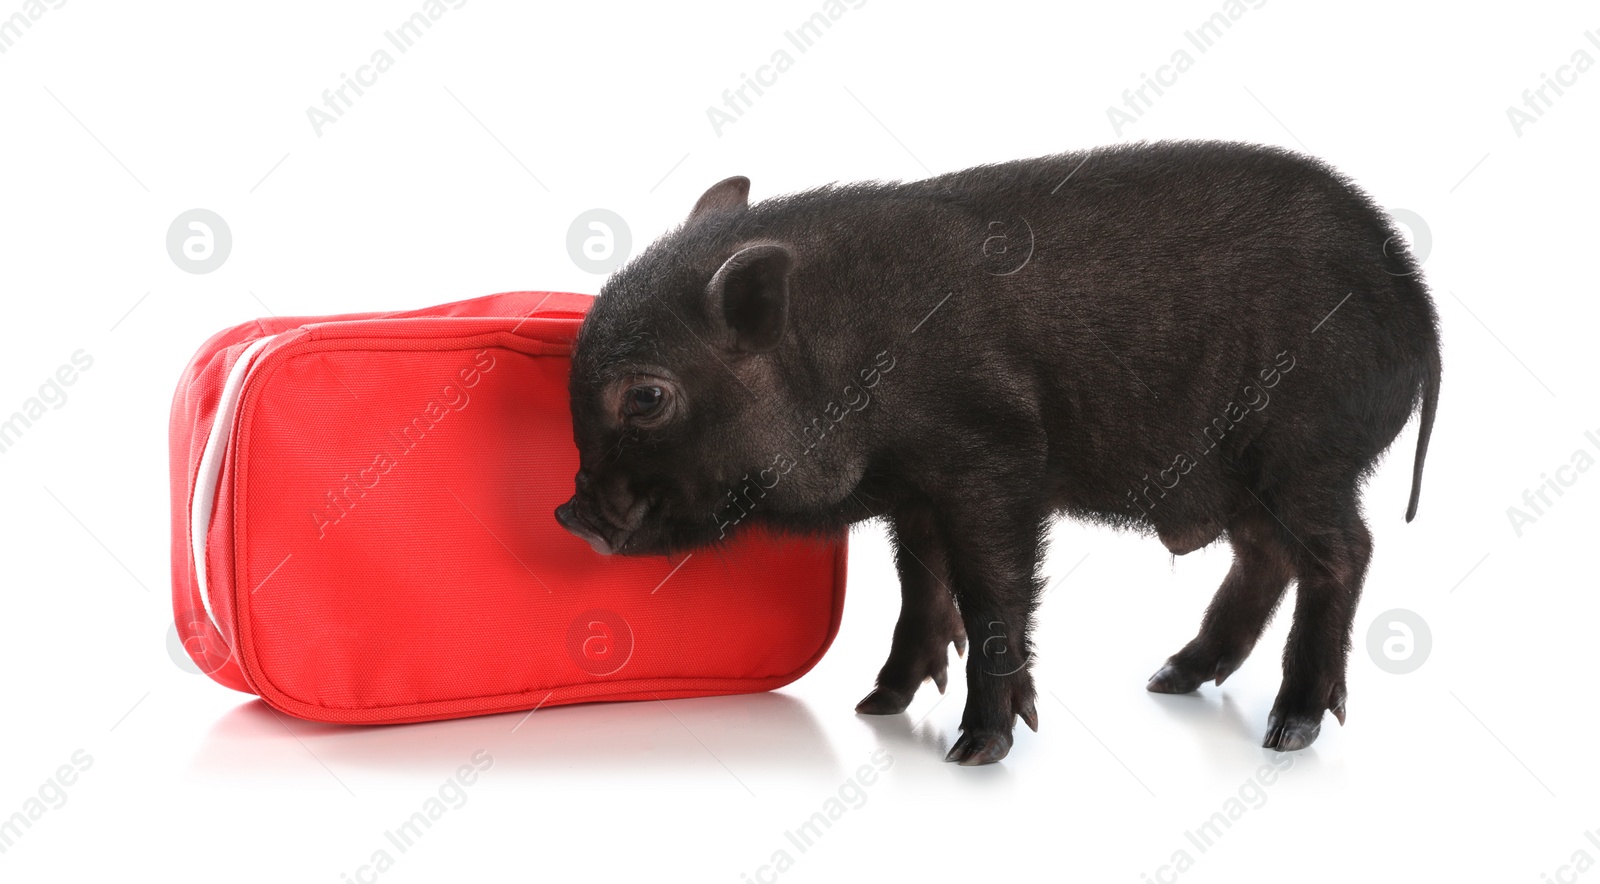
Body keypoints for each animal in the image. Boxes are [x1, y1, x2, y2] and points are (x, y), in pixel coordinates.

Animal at [556, 140, 1446, 765]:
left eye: (647, 397)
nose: (569, 515)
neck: (842, 351)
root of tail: (1419, 309)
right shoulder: (916, 493)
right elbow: (920, 585)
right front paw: (876, 706)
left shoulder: (994, 458)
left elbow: (991, 589)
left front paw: (974, 750)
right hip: (1253, 478)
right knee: (1267, 556)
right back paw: (1170, 678)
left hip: (1304, 452)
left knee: (1343, 552)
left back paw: (1287, 729)